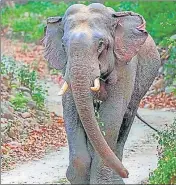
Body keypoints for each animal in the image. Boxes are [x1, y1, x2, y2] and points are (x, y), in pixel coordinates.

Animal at [42, 2, 161, 184]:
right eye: (63, 45)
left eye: (101, 44)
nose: (127, 173)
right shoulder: (67, 67)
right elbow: (71, 111)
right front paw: (78, 178)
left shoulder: (125, 67)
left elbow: (112, 114)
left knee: (125, 120)